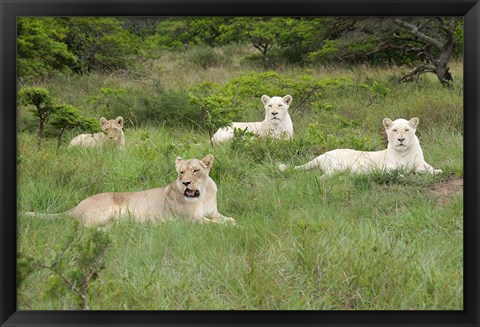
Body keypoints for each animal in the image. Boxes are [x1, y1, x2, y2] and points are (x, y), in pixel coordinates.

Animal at [25, 155, 235, 227]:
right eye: (181, 172)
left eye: (196, 171)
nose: (185, 183)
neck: (202, 196)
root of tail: (75, 208)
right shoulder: (193, 220)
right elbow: (220, 225)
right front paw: (236, 228)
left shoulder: (212, 212)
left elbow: (228, 219)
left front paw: (235, 223)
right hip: (99, 214)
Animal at [282, 118, 442, 177]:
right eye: (395, 130)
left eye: (406, 130)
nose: (401, 139)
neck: (405, 151)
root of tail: (323, 154)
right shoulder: (388, 167)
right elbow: (397, 171)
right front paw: (403, 174)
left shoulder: (420, 163)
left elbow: (429, 168)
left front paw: (437, 171)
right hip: (337, 166)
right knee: (322, 177)